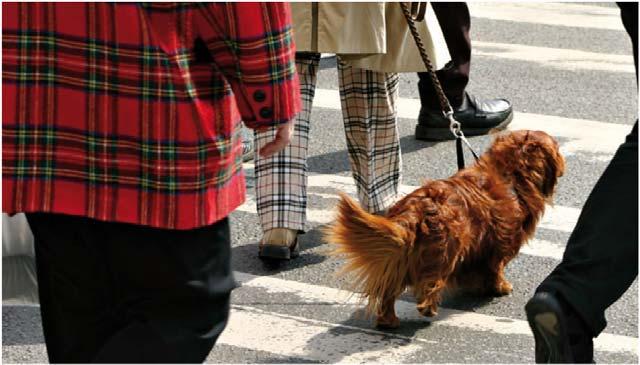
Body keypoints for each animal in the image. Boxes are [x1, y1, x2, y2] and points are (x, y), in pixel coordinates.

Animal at [328, 130, 564, 328]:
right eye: (557, 147)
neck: (511, 175)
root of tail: (416, 210)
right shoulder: (501, 245)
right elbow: (495, 269)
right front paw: (501, 287)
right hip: (444, 253)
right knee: (430, 283)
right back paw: (428, 308)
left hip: (402, 259)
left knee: (389, 291)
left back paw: (389, 320)